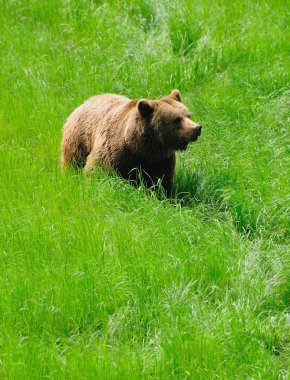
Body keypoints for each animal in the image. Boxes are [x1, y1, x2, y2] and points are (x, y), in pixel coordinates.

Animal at [61, 90, 202, 194]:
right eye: (177, 120)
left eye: (188, 115)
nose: (197, 128)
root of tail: (85, 102)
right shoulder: (114, 151)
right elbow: (98, 170)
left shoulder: (161, 160)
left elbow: (161, 181)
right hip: (78, 140)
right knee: (73, 162)